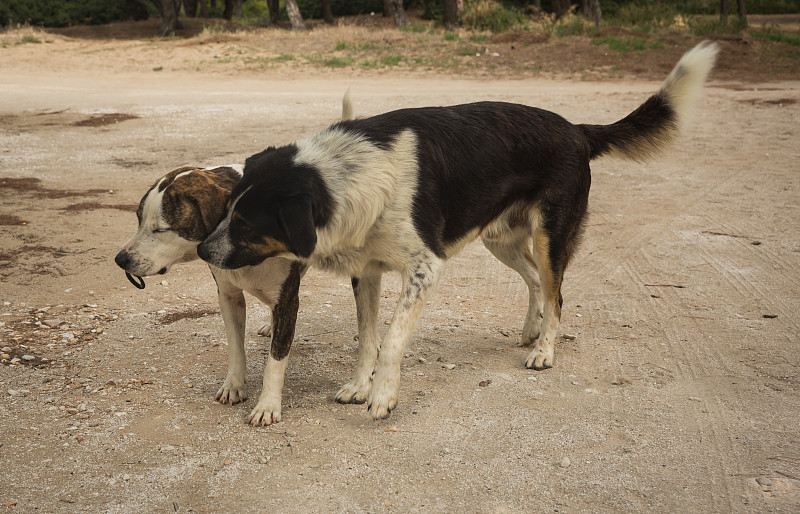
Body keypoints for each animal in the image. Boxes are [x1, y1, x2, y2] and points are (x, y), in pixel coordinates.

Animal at [114, 90, 352, 422]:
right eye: (137, 219)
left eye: (161, 228)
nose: (121, 260)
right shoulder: (228, 295)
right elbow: (236, 346)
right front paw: (234, 384)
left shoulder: (286, 297)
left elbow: (276, 360)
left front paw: (267, 404)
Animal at [198, 43, 720, 420]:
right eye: (226, 209)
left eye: (246, 223)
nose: (203, 250)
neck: (348, 174)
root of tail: (576, 128)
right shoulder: (367, 270)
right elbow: (367, 335)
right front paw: (359, 385)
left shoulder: (425, 268)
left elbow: (391, 338)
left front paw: (382, 395)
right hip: (500, 239)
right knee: (536, 281)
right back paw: (530, 330)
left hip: (550, 237)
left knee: (557, 294)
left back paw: (544, 350)